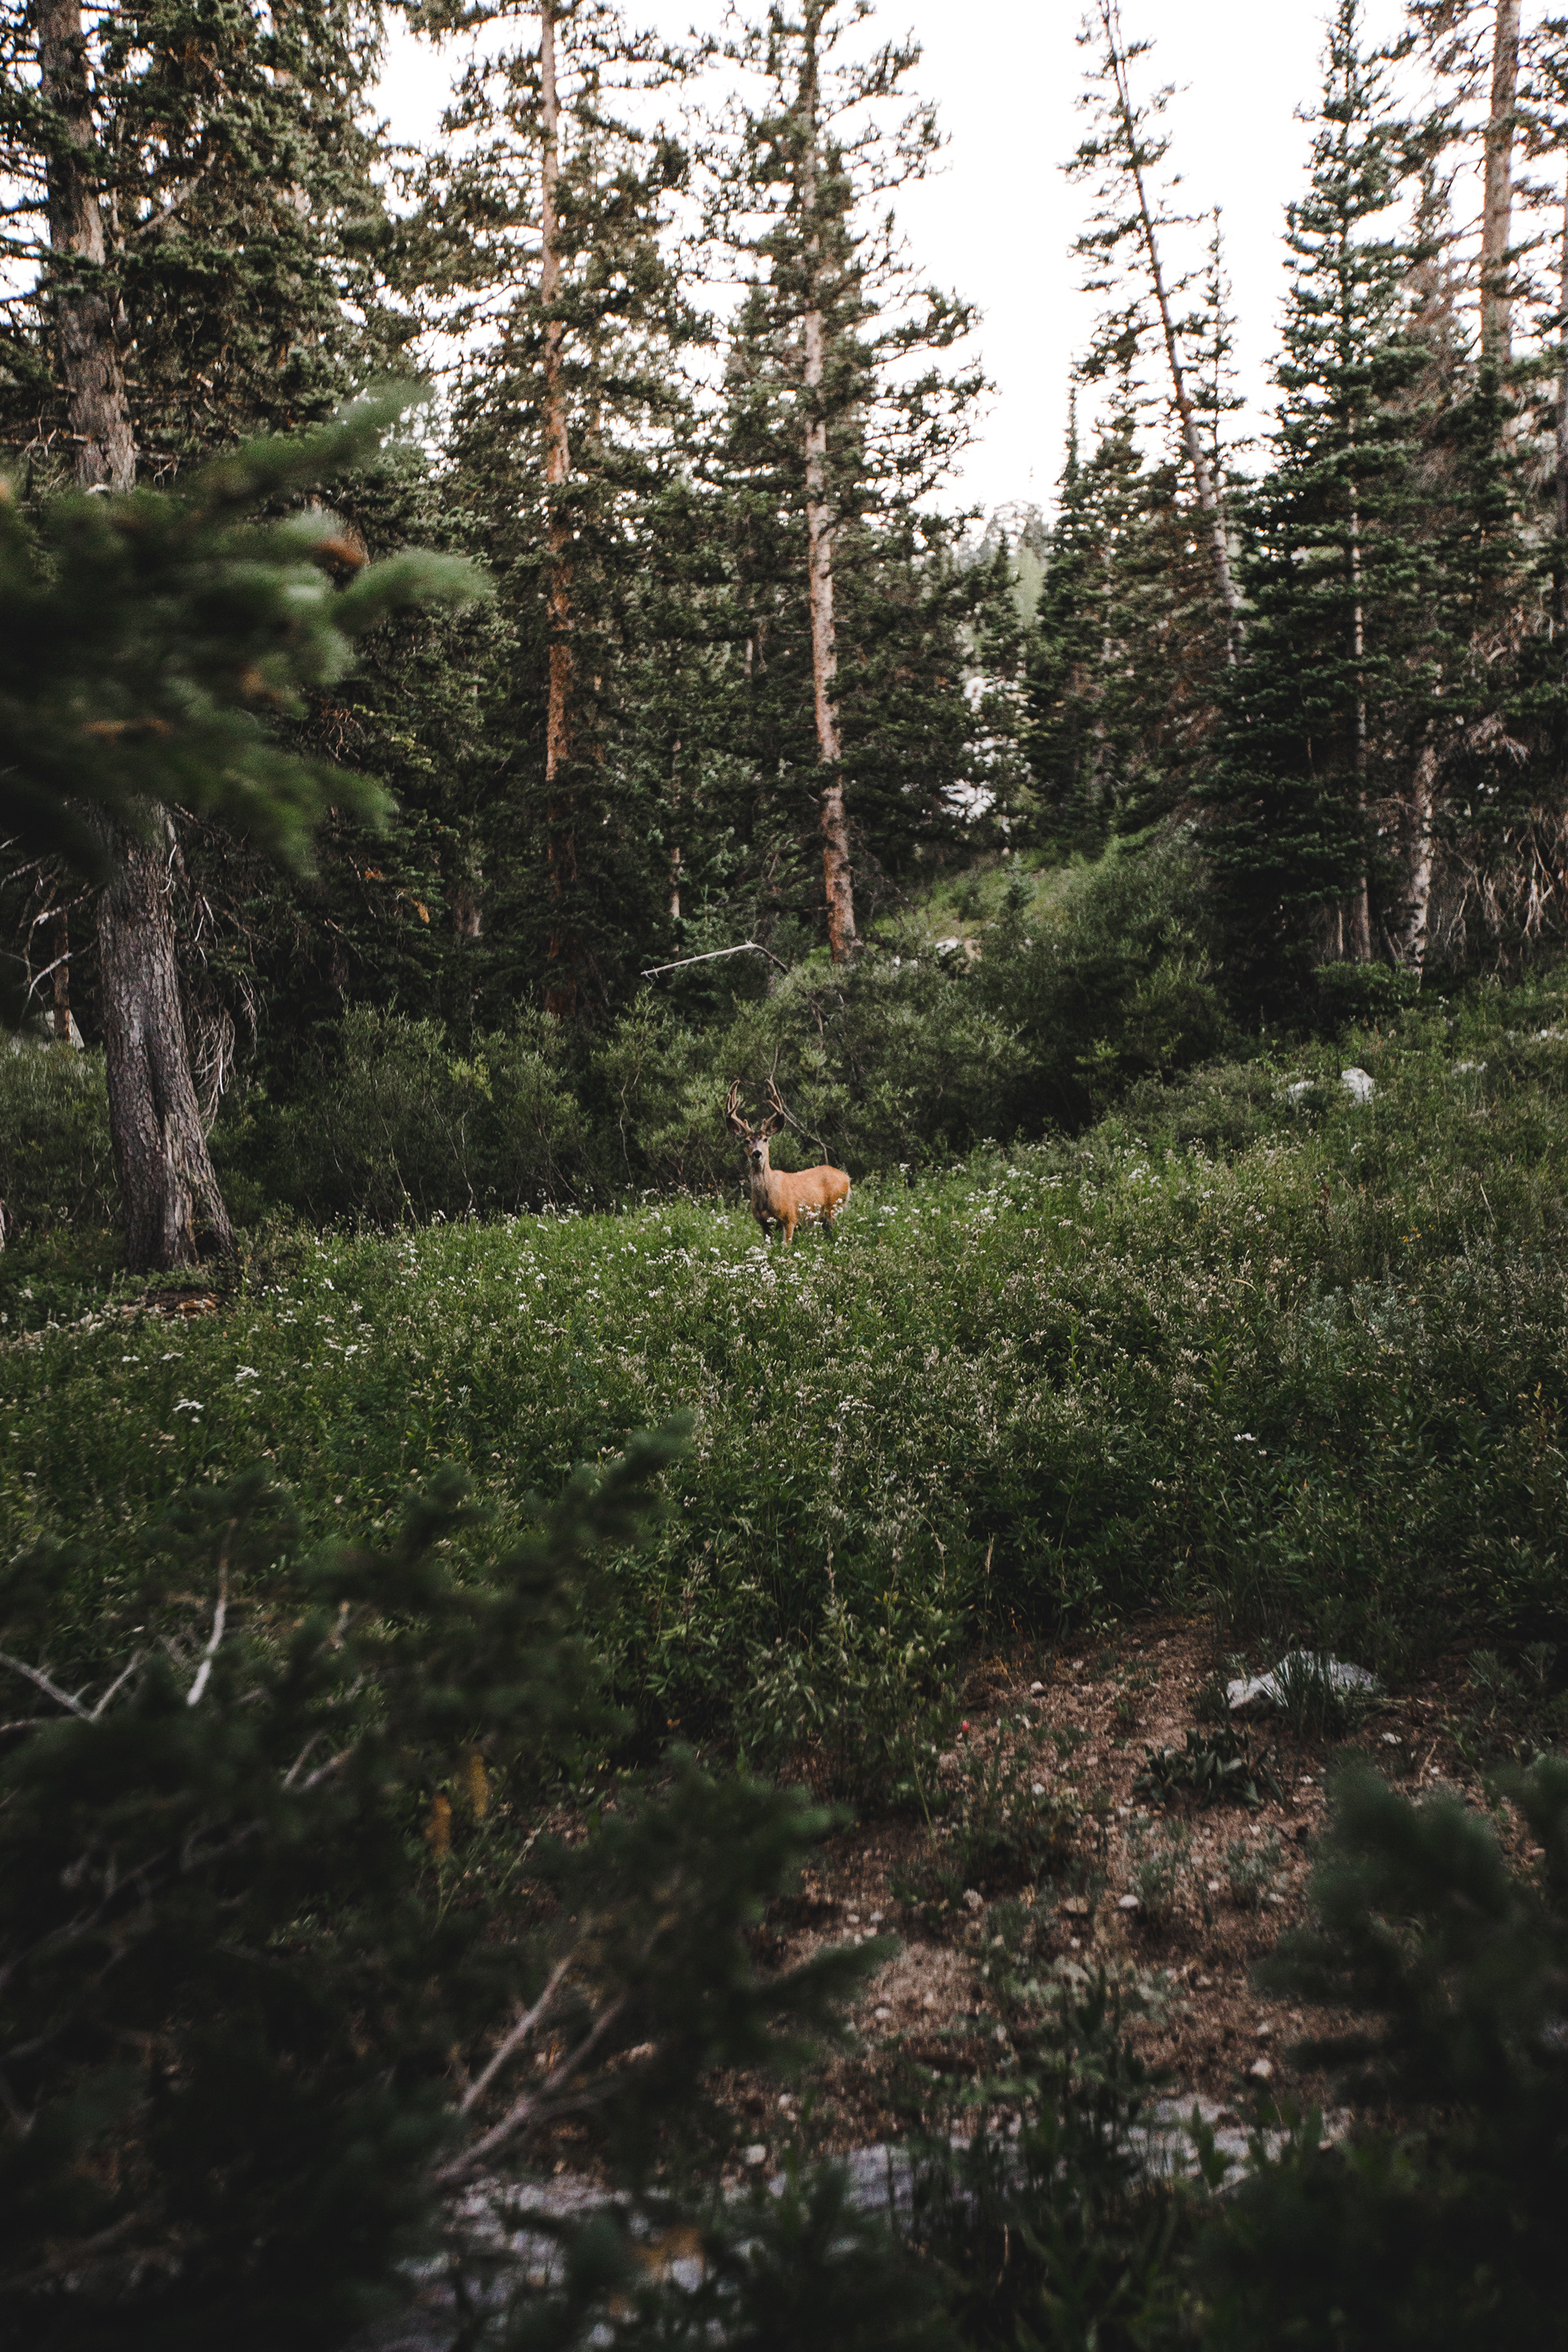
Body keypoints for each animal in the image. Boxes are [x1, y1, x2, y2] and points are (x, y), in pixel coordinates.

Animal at [725, 1080, 850, 1245]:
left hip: (834, 1208)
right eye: (746, 1141)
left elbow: (786, 1245)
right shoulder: (763, 1224)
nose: (757, 1153)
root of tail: (847, 1178)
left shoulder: (790, 1218)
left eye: (765, 1139)